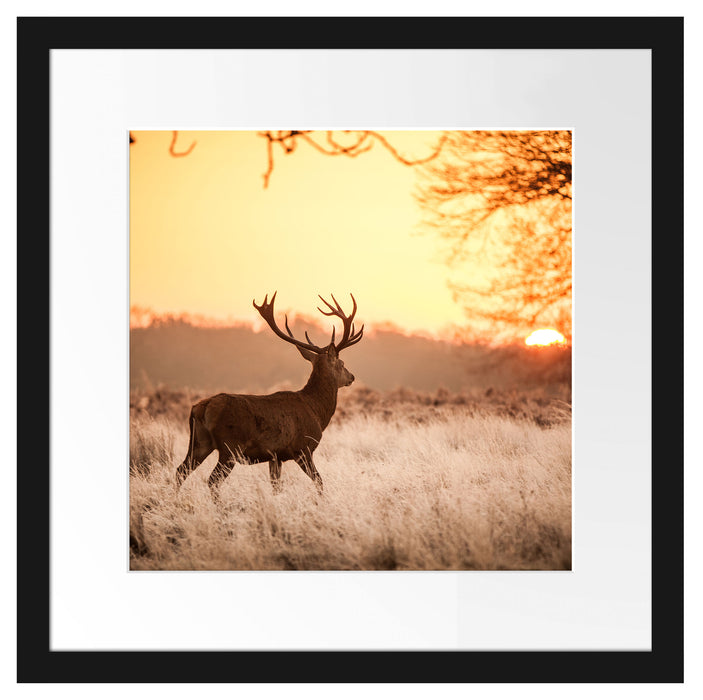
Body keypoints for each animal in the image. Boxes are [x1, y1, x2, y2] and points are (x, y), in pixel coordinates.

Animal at [175, 292, 363, 498]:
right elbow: (319, 481)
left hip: (199, 442)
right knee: (212, 480)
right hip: (230, 447)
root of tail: (201, 408)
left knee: (180, 470)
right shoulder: (303, 448)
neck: (316, 410)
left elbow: (276, 486)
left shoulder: (275, 456)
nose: (352, 377)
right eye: (342, 363)